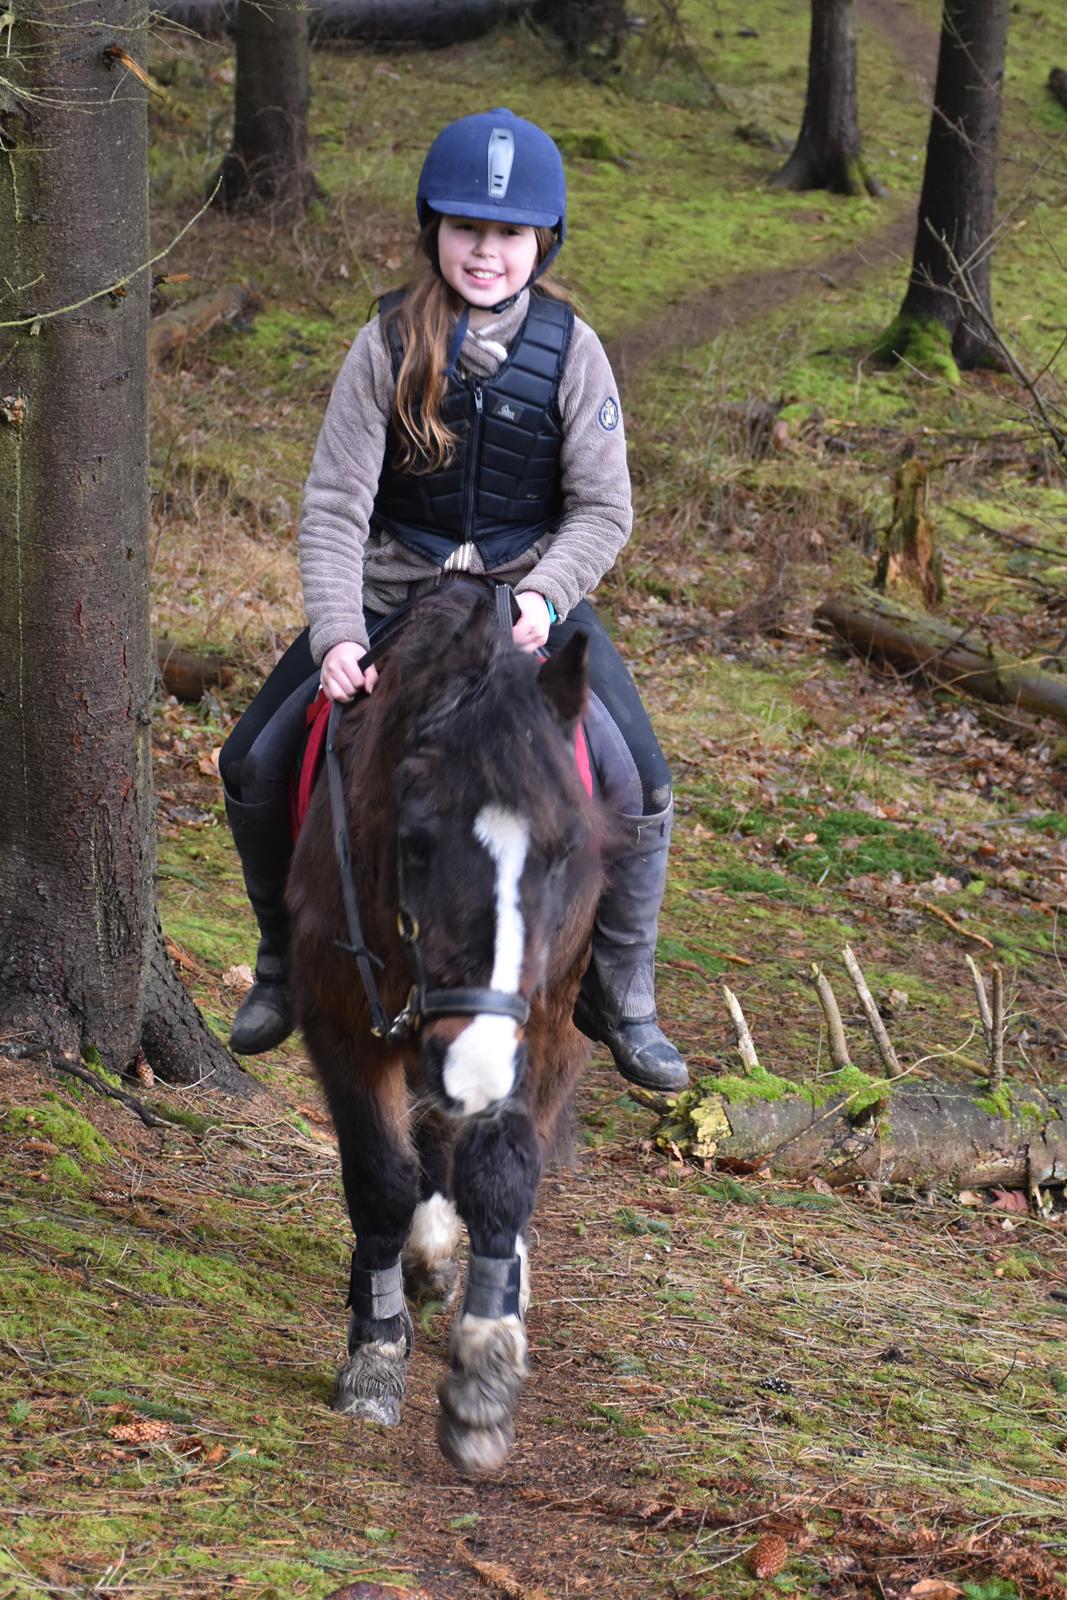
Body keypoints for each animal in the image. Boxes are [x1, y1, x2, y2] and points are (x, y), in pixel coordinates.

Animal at [287, 579, 604, 1472]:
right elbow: (380, 1179)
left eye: (564, 849)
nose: (480, 1065)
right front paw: (374, 1353)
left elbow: (503, 1174)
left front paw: (485, 1376)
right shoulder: (342, 1021)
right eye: (418, 841)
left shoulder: (546, 1031)